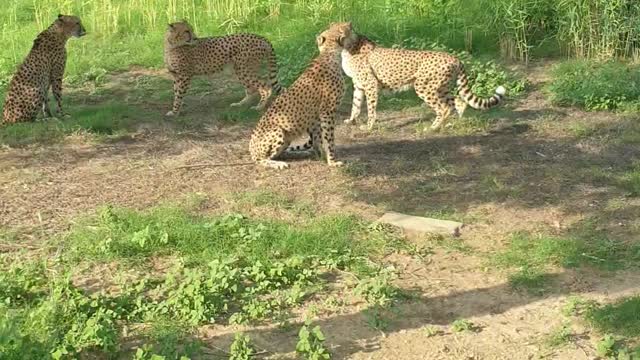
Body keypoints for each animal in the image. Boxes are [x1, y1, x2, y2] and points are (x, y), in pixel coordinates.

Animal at [249, 22, 358, 170]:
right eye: (349, 27)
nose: (353, 28)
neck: (329, 54)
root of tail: (250, 148)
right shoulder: (327, 111)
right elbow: (329, 138)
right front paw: (332, 161)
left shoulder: (316, 116)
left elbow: (318, 138)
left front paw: (321, 156)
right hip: (278, 131)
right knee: (261, 159)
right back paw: (277, 164)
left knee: (280, 153)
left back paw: (297, 154)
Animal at [340, 33, 504, 131]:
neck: (350, 47)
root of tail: (454, 57)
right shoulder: (359, 86)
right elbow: (355, 105)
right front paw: (351, 120)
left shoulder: (371, 85)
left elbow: (371, 108)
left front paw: (368, 126)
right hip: (441, 87)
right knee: (457, 102)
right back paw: (452, 123)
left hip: (423, 86)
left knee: (444, 107)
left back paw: (433, 128)